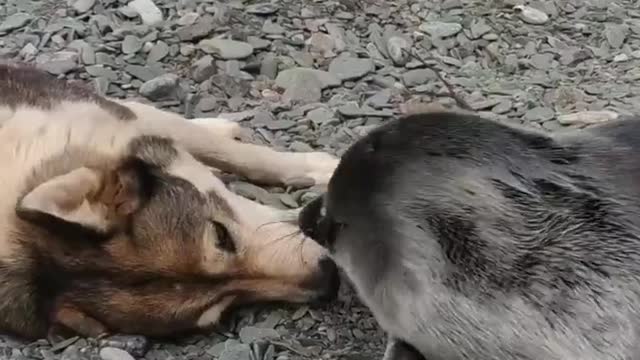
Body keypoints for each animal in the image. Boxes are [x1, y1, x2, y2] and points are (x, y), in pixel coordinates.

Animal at [0, 61, 344, 340]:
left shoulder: (114, 119)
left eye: (221, 236)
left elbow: (240, 155)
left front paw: (319, 168)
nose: (330, 279)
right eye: (221, 307)